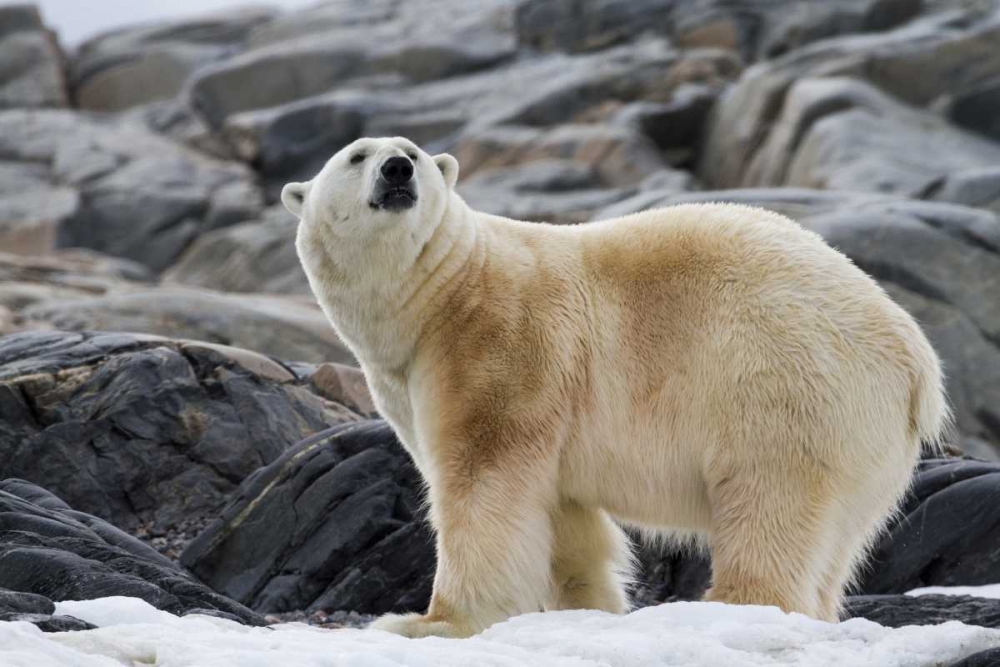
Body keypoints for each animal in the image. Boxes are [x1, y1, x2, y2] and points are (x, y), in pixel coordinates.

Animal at [280, 137, 944, 640]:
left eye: (412, 151)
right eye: (357, 155)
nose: (398, 169)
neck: (442, 292)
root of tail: (915, 358)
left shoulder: (501, 344)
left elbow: (484, 485)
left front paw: (429, 623)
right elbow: (565, 515)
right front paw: (585, 608)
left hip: (784, 380)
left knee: (771, 497)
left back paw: (733, 606)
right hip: (861, 439)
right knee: (833, 544)